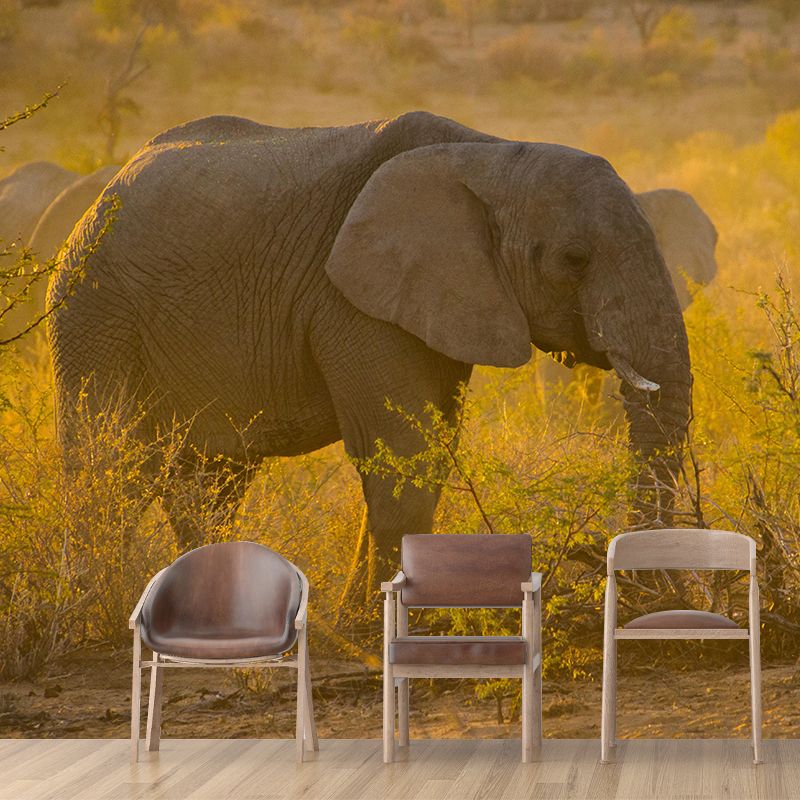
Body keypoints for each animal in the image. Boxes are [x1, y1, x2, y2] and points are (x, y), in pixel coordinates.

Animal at [48, 111, 691, 589]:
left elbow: (430, 447)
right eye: (574, 259)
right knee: (109, 470)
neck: (492, 154)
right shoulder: (350, 298)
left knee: (208, 484)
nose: (631, 583)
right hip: (94, 312)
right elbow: (404, 452)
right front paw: (366, 623)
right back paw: (93, 610)